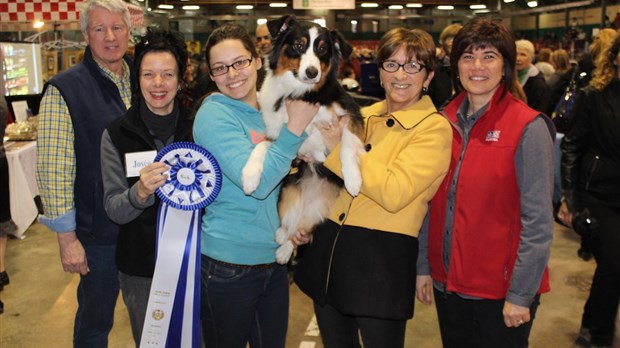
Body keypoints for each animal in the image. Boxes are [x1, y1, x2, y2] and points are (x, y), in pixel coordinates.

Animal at [241, 14, 368, 262]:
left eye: (323, 50)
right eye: (299, 46)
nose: (312, 72)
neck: (302, 93)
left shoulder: (352, 114)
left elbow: (347, 143)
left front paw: (353, 179)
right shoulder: (278, 134)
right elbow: (261, 146)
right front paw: (250, 177)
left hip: (322, 204)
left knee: (304, 229)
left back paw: (283, 249)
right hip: (287, 191)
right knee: (292, 227)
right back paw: (282, 238)